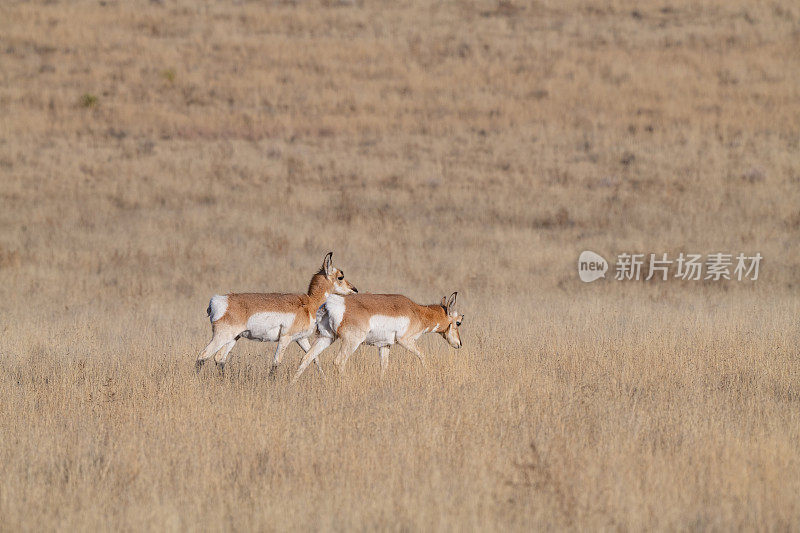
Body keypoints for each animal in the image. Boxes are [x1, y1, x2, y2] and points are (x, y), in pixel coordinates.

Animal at [195, 252, 358, 374]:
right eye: (340, 277)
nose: (355, 290)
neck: (309, 303)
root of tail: (219, 300)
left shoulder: (301, 339)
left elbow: (313, 358)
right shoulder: (285, 338)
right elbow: (276, 363)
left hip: (233, 338)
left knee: (219, 358)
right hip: (222, 336)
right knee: (203, 356)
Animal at [292, 288, 462, 380]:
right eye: (459, 321)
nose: (459, 344)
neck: (417, 312)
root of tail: (332, 303)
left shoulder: (385, 346)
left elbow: (384, 366)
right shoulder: (406, 341)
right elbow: (423, 356)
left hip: (325, 338)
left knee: (306, 358)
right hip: (351, 342)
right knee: (339, 361)